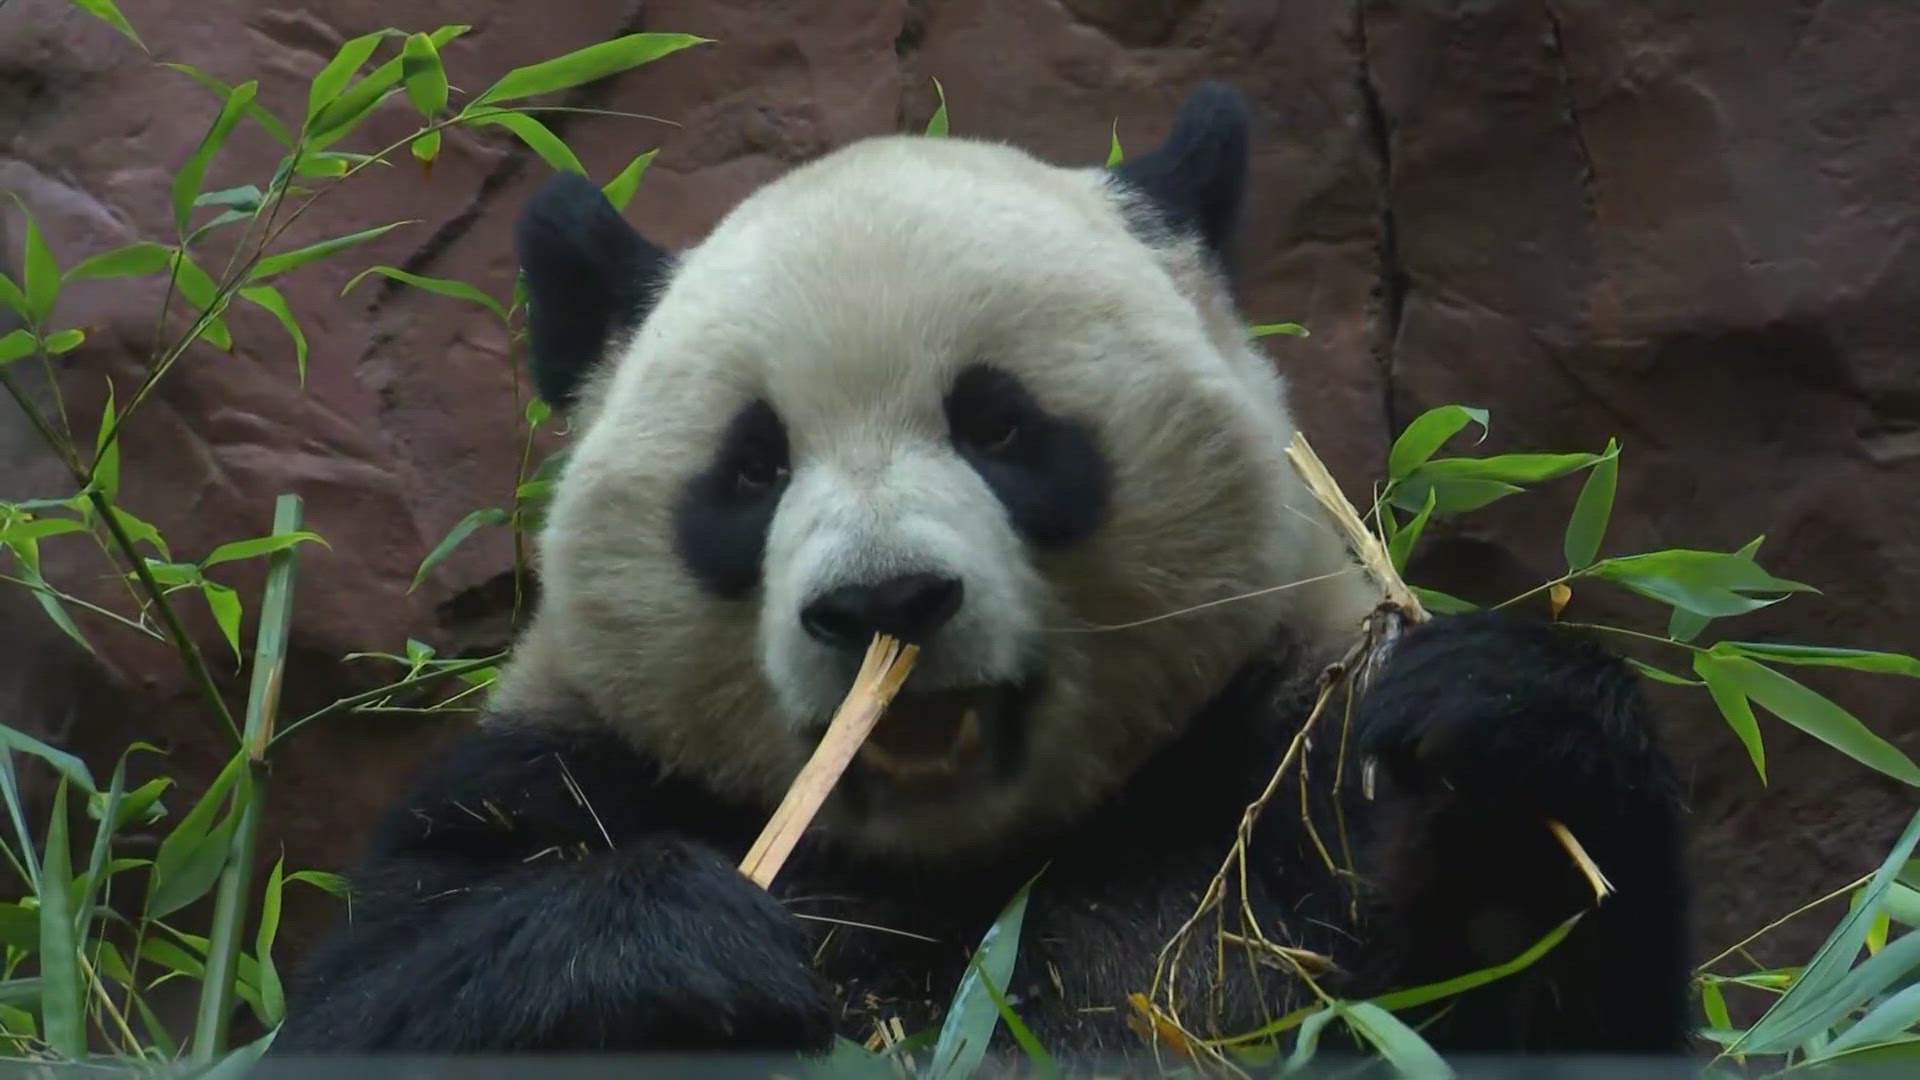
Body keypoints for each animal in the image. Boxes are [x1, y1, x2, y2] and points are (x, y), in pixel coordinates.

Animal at [278, 84, 1689, 1060]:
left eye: (999, 426)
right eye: (752, 468)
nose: (884, 601)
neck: (949, 870)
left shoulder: (1285, 782)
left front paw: (1509, 736)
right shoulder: (555, 782)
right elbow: (368, 1003)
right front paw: (674, 946)